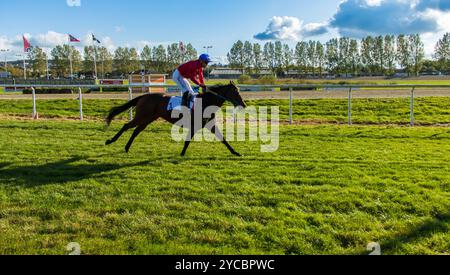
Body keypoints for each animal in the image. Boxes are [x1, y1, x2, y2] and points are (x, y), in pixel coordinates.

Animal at [104, 82, 248, 157]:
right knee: (126, 126)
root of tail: (144, 96)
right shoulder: (194, 125)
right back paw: (110, 141)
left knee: (135, 131)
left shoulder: (209, 125)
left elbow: (223, 139)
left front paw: (235, 152)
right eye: (235, 92)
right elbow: (187, 141)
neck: (206, 102)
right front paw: (182, 153)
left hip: (148, 119)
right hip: (142, 117)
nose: (243, 104)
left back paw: (126, 147)